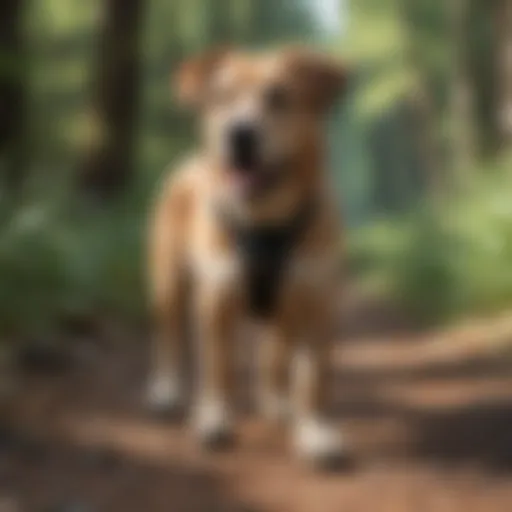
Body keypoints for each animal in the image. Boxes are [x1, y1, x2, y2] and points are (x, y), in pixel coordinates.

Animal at [146, 46, 350, 466]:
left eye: (279, 96)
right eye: (222, 97)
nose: (239, 133)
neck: (265, 219)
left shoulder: (319, 303)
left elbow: (314, 378)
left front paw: (316, 433)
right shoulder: (215, 301)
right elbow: (217, 367)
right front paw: (214, 418)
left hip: (286, 312)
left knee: (274, 356)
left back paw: (276, 403)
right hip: (167, 282)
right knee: (168, 337)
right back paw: (166, 390)